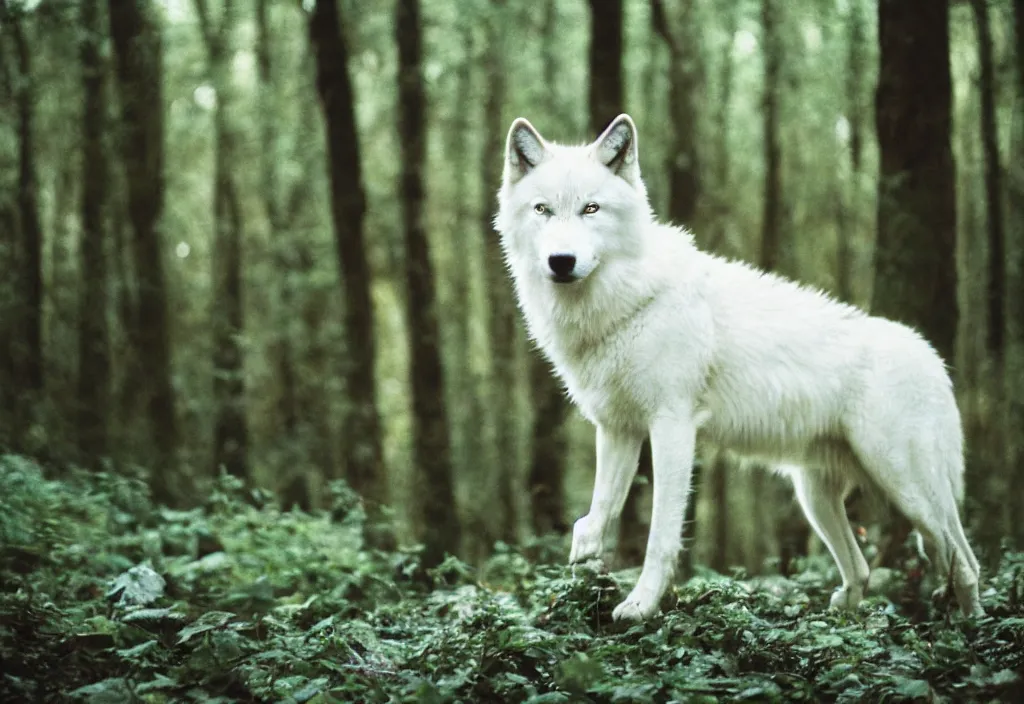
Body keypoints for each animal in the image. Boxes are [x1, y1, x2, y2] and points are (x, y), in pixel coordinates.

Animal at [495, 114, 983, 622]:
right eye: (542, 209)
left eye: (591, 209)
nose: (561, 262)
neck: (625, 299)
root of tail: (933, 358)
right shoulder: (617, 428)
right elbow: (598, 511)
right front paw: (584, 562)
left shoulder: (672, 426)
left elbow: (660, 536)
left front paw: (641, 606)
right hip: (816, 497)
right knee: (863, 569)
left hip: (906, 488)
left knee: (964, 564)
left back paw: (967, 629)